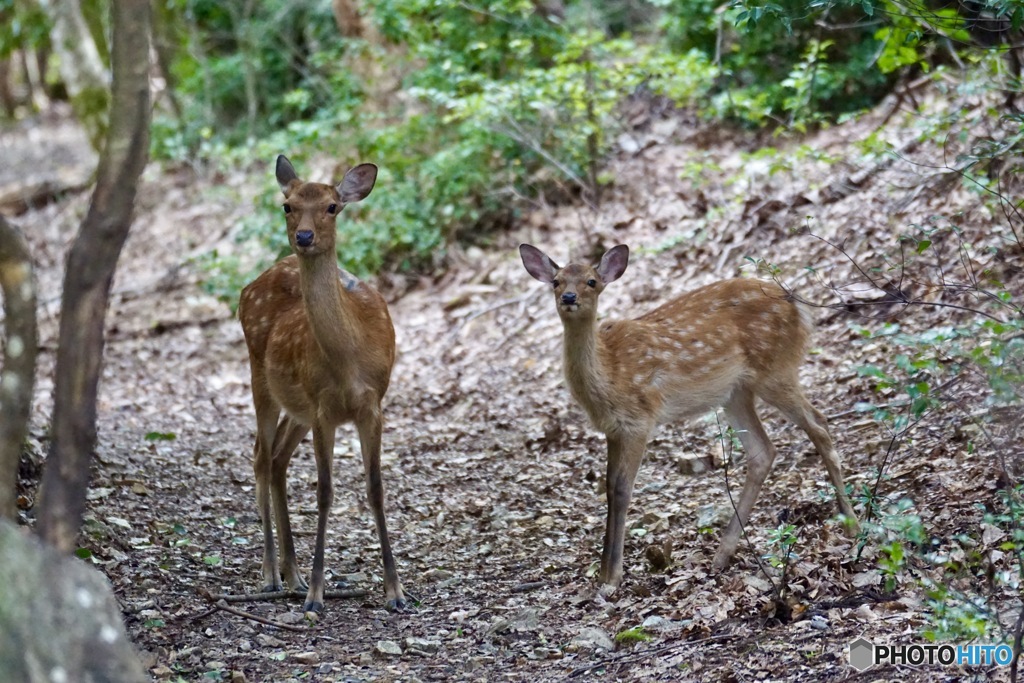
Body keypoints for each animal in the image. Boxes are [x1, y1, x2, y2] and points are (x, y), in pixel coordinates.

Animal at [236, 156, 403, 614]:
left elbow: (376, 487)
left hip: (298, 409)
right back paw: (273, 575)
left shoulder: (371, 405)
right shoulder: (324, 411)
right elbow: (325, 491)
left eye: (332, 206)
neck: (348, 362)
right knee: (260, 455)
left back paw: (290, 573)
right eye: (287, 205)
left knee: (277, 459)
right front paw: (315, 594)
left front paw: (396, 591)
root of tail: (250, 285)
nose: (305, 236)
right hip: (261, 377)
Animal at [516, 242, 860, 589]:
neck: (609, 373)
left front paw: (612, 577)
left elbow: (623, 490)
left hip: (775, 369)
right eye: (556, 281)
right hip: (736, 393)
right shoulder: (613, 429)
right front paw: (603, 573)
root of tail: (799, 306)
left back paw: (852, 524)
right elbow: (609, 488)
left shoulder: (640, 419)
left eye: (591, 281)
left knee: (818, 423)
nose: (568, 297)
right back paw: (721, 556)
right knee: (764, 450)